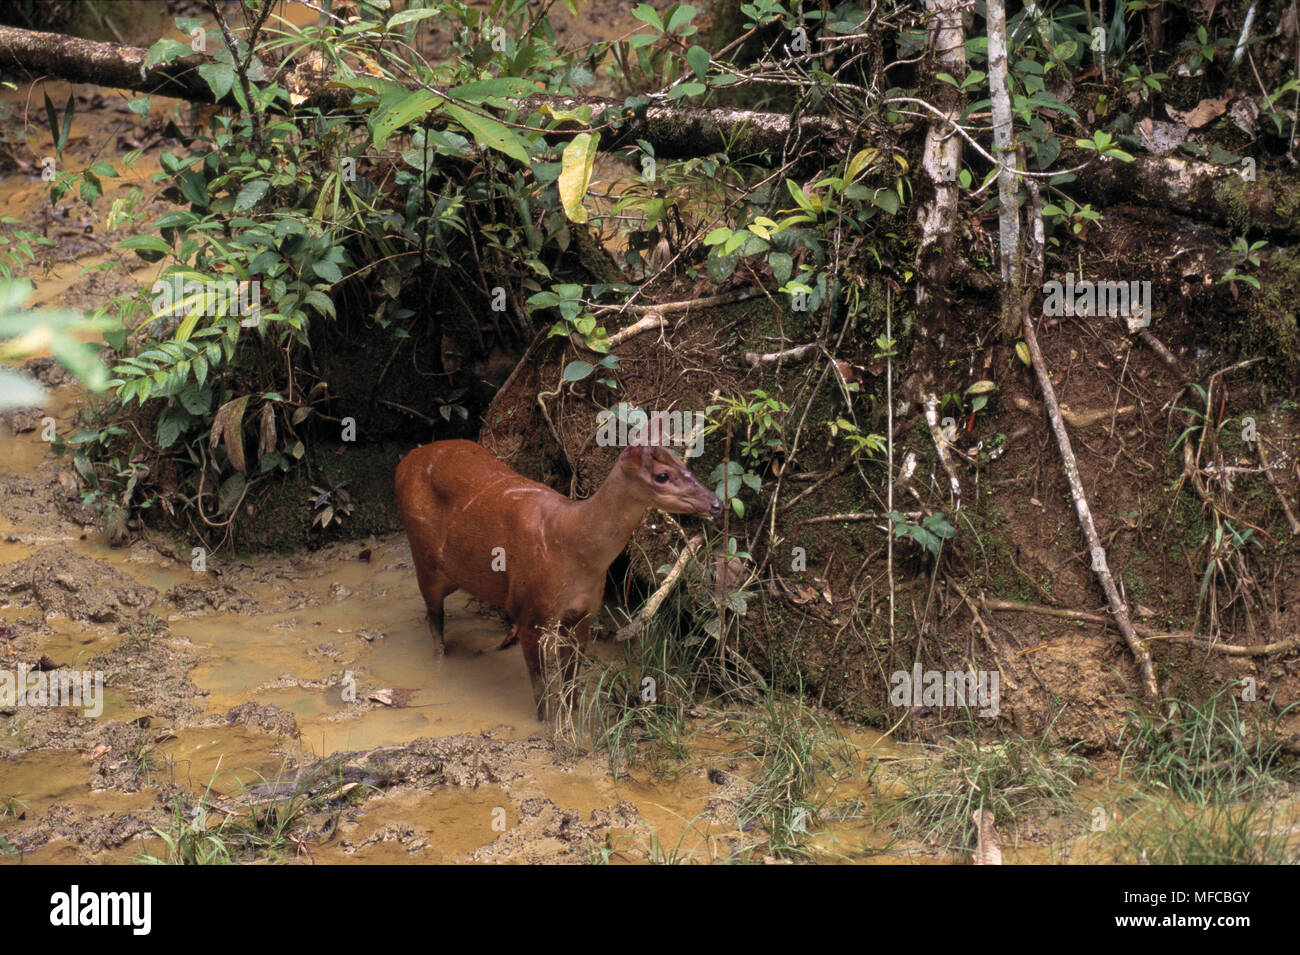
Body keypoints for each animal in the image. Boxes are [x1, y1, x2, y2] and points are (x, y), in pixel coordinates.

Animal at [395, 433, 722, 717]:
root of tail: (405, 461)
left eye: (684, 463)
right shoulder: (531, 610)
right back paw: (441, 663)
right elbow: (540, 691)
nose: (716, 503)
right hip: (423, 558)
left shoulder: (584, 613)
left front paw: (574, 719)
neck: (571, 545)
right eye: (662, 476)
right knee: (435, 621)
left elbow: (572, 682)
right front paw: (546, 725)